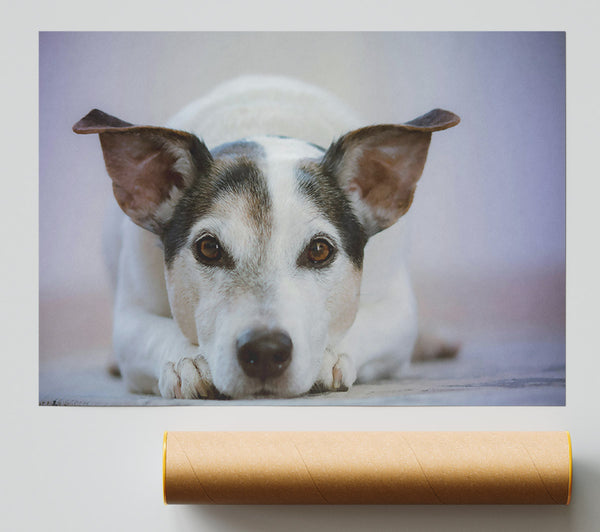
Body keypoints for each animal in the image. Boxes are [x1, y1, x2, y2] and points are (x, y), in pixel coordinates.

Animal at [75, 75, 460, 400]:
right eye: (208, 248)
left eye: (319, 250)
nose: (264, 351)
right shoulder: (131, 316)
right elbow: (152, 333)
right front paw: (188, 361)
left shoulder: (397, 311)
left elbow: (366, 325)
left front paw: (328, 356)